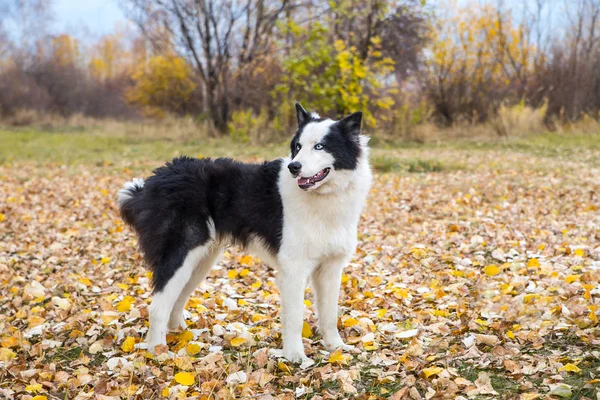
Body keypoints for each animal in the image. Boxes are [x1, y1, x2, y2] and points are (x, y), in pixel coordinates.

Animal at [116, 104, 370, 362]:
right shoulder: (294, 267)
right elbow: (295, 317)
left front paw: (336, 348)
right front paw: (295, 356)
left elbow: (329, 314)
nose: (293, 167)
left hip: (200, 261)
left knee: (176, 299)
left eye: (320, 146)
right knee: (158, 306)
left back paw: (182, 335)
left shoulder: (330, 268)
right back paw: (158, 352)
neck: (324, 198)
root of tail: (156, 179)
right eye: (298, 147)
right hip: (181, 255)